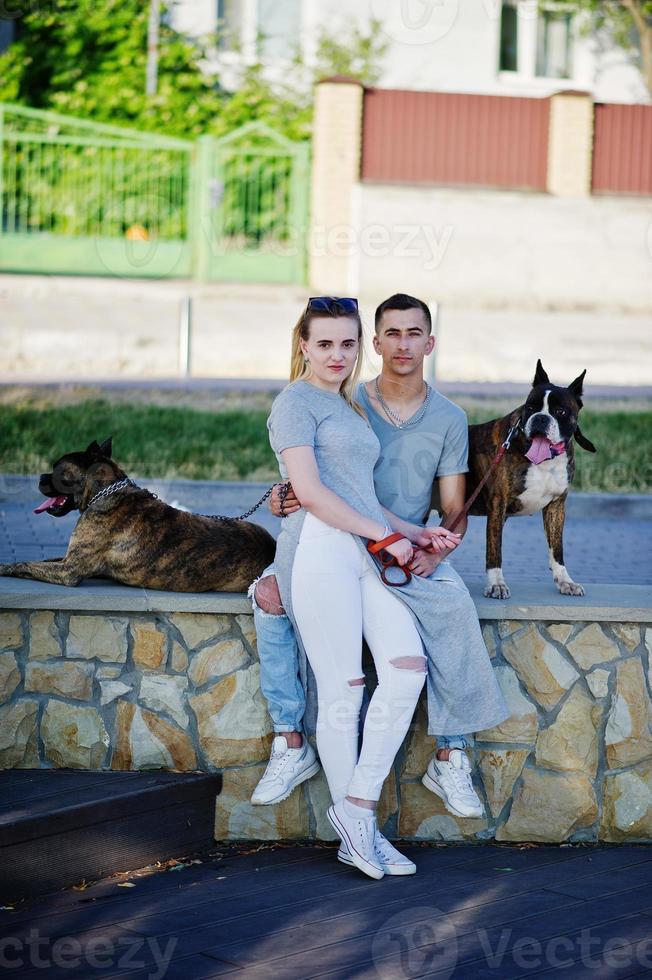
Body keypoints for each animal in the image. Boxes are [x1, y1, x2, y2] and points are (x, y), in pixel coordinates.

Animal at [0, 440, 276, 592]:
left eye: (58, 469)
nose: (40, 477)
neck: (106, 492)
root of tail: (271, 544)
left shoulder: (70, 570)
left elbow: (27, 565)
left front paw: (6, 567)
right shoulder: (69, 560)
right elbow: (42, 560)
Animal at [464, 362, 596, 596]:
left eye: (560, 411)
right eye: (531, 408)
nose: (541, 418)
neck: (544, 461)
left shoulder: (556, 506)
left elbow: (557, 549)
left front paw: (565, 581)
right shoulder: (498, 504)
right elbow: (494, 549)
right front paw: (496, 584)